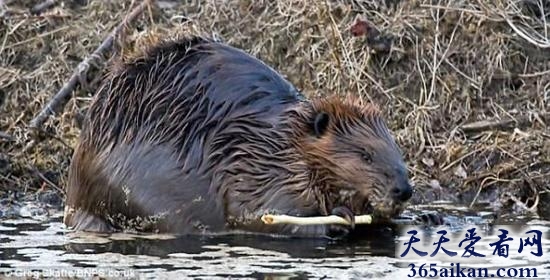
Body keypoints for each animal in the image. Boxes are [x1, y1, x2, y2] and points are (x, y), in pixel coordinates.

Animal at [63, 36, 414, 240]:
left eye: (397, 151)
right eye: (365, 154)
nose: (404, 190)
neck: (278, 143)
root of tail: (75, 202)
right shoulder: (256, 172)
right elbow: (259, 214)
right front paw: (340, 216)